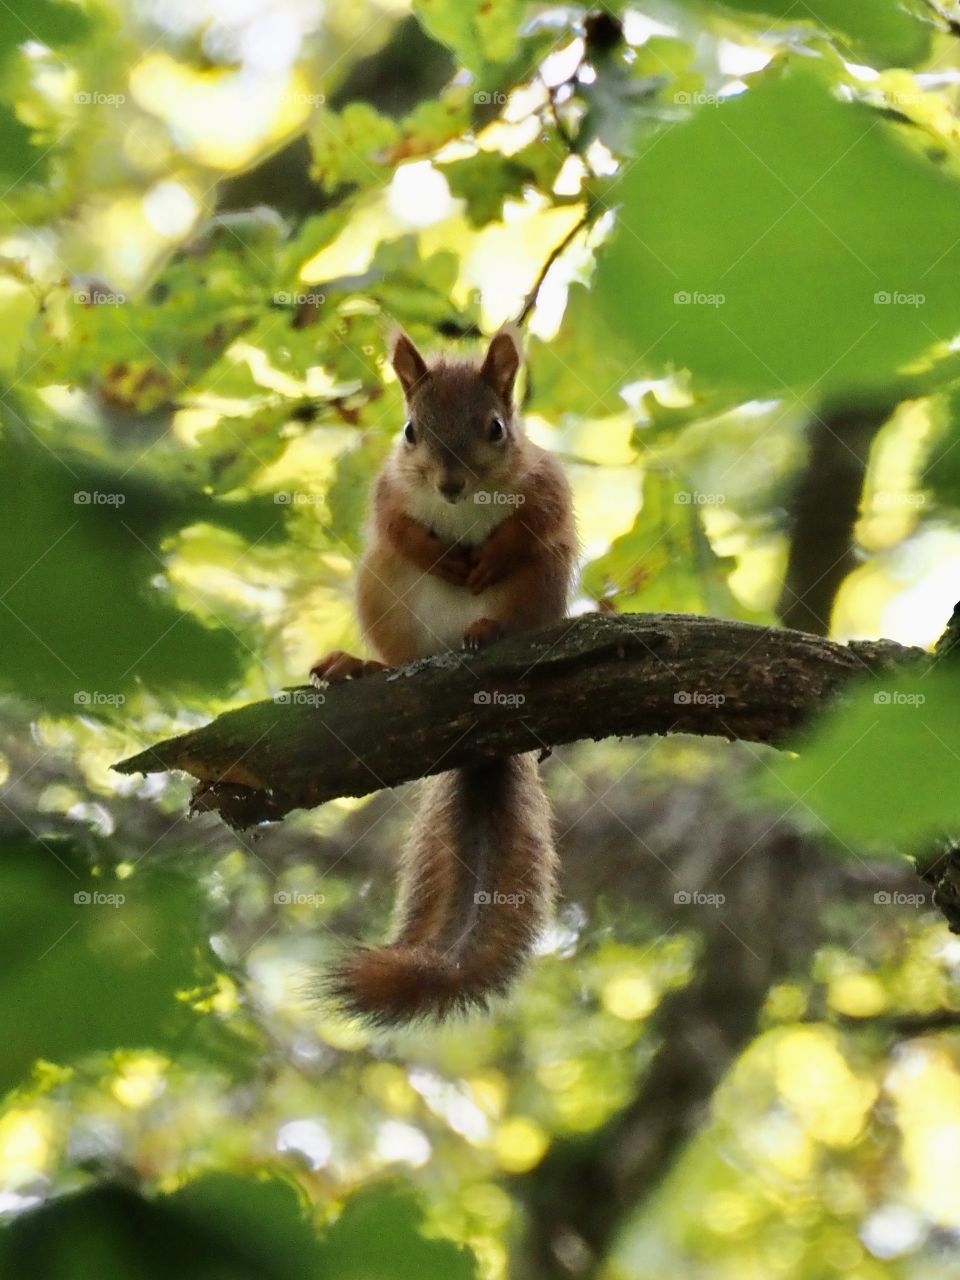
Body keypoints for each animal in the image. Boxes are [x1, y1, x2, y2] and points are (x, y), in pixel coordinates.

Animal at [311, 327, 577, 1024]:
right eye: (409, 430)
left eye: (496, 428)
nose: (450, 484)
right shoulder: (388, 493)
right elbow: (397, 524)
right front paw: (440, 554)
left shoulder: (545, 485)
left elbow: (535, 522)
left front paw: (490, 556)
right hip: (380, 587)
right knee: (399, 652)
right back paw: (362, 666)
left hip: (544, 583)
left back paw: (487, 631)